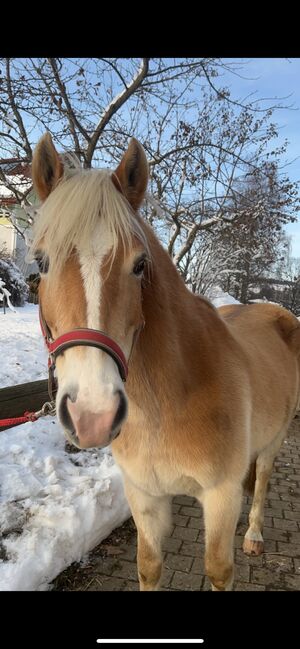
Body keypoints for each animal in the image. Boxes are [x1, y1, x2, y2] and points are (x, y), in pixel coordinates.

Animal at [29, 134, 300, 588]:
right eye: (41, 262)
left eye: (139, 264)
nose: (93, 414)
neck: (167, 402)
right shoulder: (145, 496)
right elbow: (149, 565)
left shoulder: (221, 497)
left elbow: (219, 569)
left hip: (273, 442)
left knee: (261, 484)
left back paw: (255, 536)